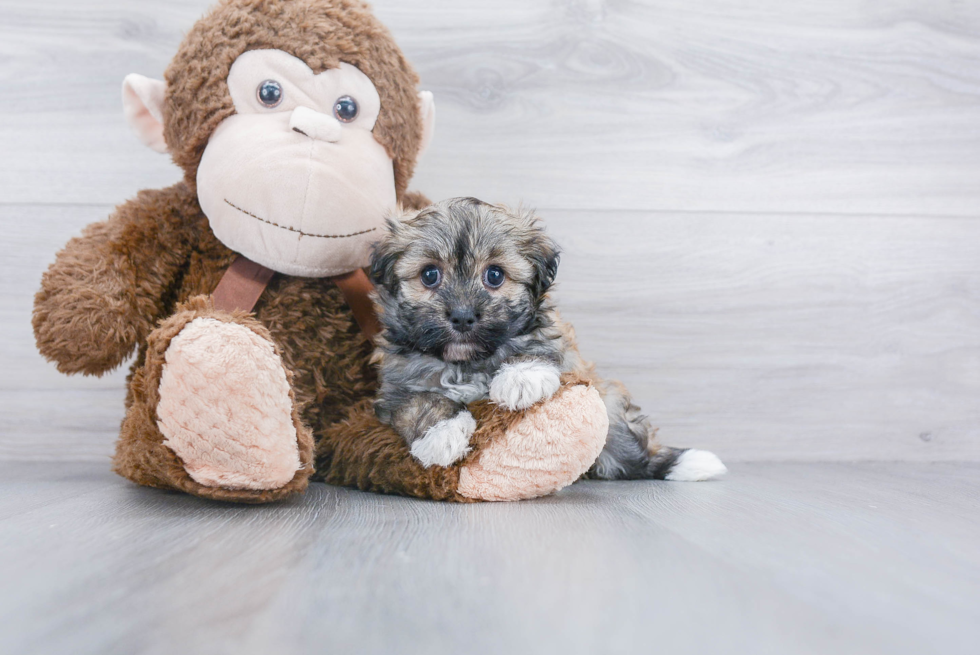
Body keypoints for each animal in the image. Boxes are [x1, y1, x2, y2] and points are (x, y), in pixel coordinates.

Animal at [368, 195, 728, 482]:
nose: (462, 315)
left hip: (610, 408)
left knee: (626, 451)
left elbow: (541, 345)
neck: (468, 361)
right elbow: (418, 403)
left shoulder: (560, 343)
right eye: (430, 275)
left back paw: (680, 463)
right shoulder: (397, 384)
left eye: (494, 275)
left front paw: (521, 378)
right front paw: (441, 435)